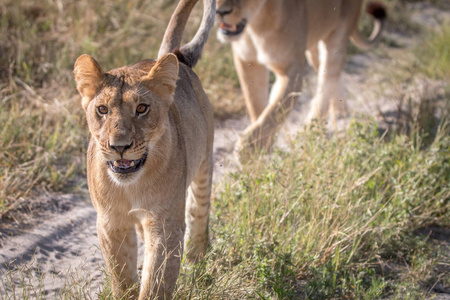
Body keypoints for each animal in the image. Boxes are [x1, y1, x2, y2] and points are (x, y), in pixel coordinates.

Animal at [73, 0, 215, 298]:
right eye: (102, 110)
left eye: (141, 108)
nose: (119, 146)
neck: (130, 186)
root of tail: (175, 57)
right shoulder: (111, 224)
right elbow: (122, 278)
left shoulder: (165, 225)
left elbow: (156, 282)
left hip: (204, 164)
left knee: (199, 212)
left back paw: (197, 261)